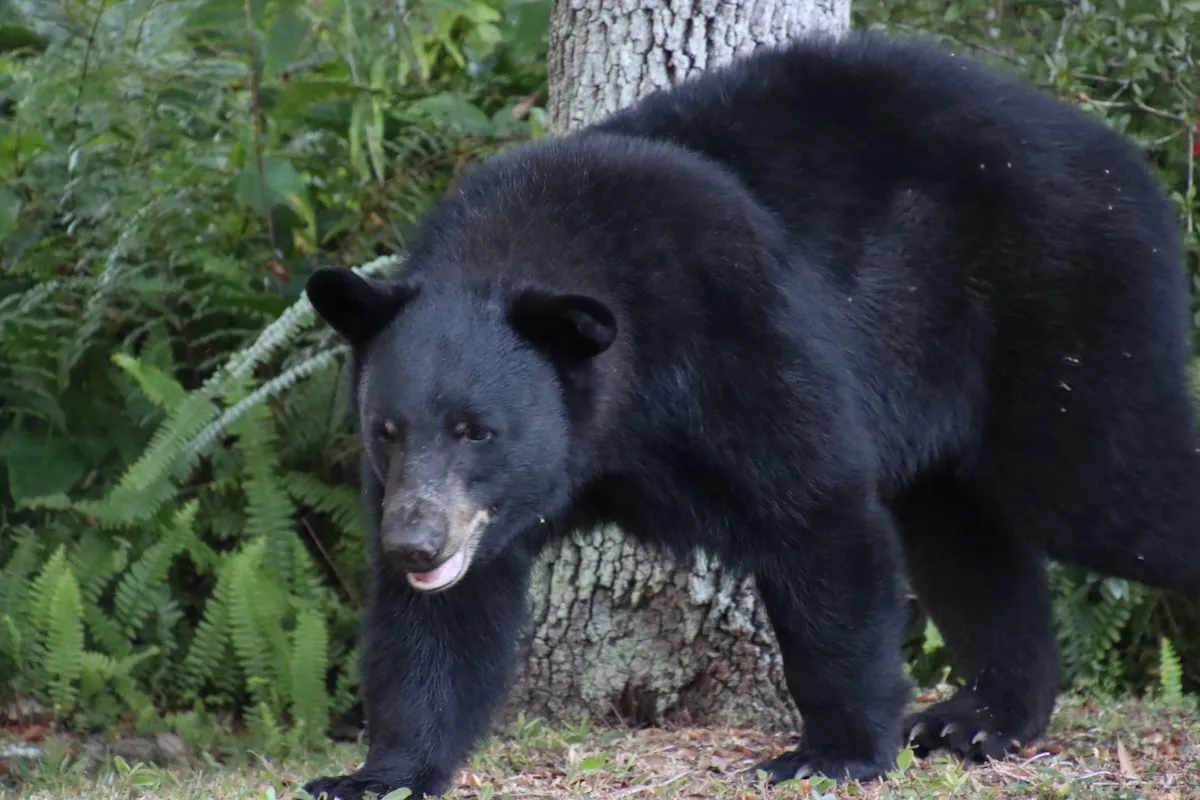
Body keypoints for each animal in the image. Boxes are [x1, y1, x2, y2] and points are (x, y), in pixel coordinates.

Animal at [300, 30, 1199, 800]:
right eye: (387, 430)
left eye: (477, 429)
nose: (414, 543)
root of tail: (1120, 155)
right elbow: (440, 622)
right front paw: (379, 772)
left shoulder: (735, 328)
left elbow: (817, 512)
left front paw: (830, 751)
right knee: (964, 540)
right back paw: (977, 719)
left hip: (1060, 306)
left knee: (1110, 487)